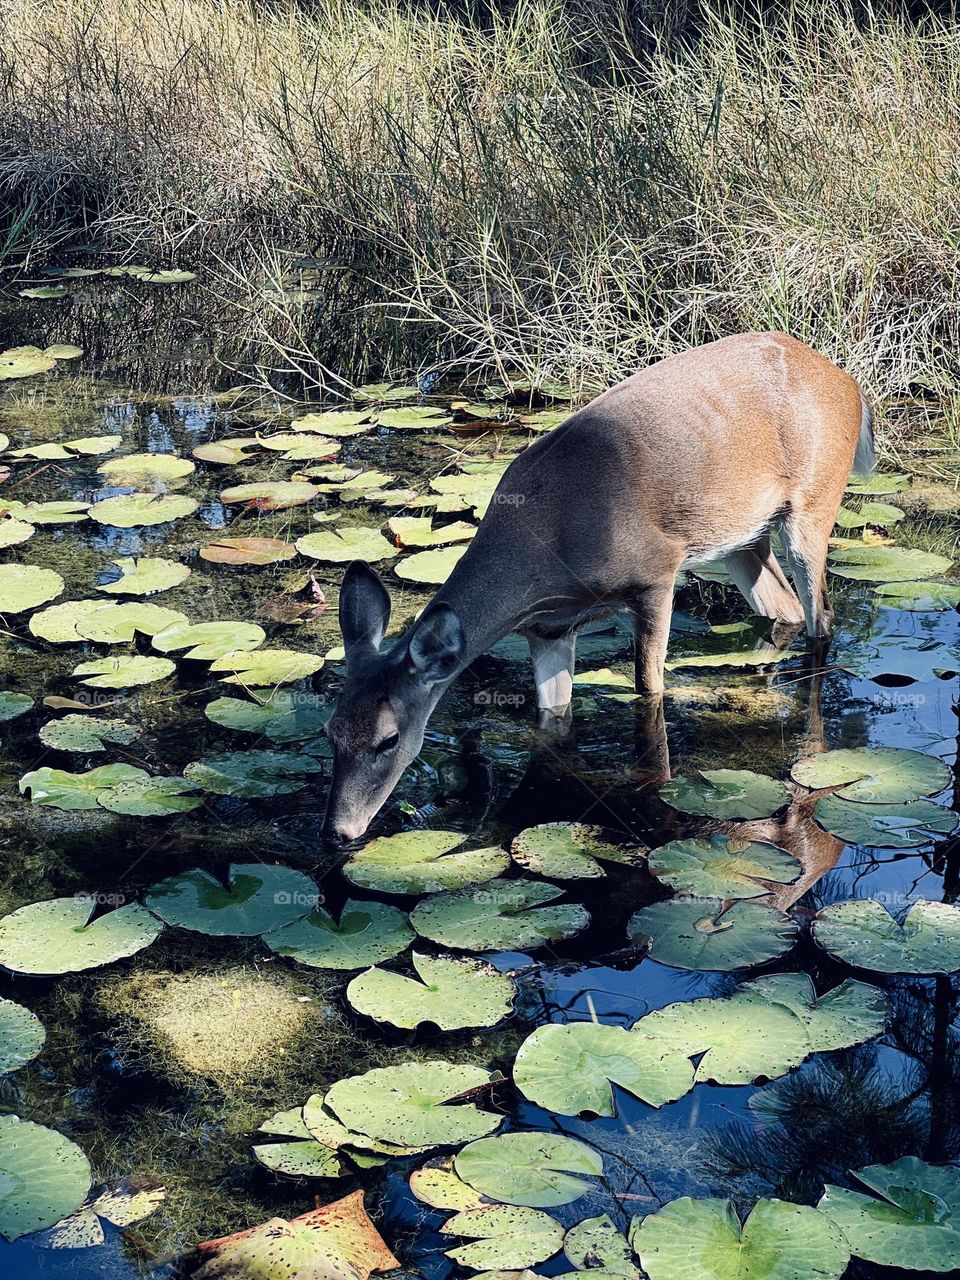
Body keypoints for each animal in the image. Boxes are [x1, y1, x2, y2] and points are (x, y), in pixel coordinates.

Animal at [323, 331, 874, 845]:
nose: (337, 832)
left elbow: (648, 688)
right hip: (742, 536)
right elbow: (553, 714)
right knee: (785, 608)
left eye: (388, 739)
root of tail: (848, 384)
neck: (545, 549)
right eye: (331, 732)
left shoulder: (657, 573)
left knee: (821, 616)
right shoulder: (548, 629)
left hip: (814, 501)